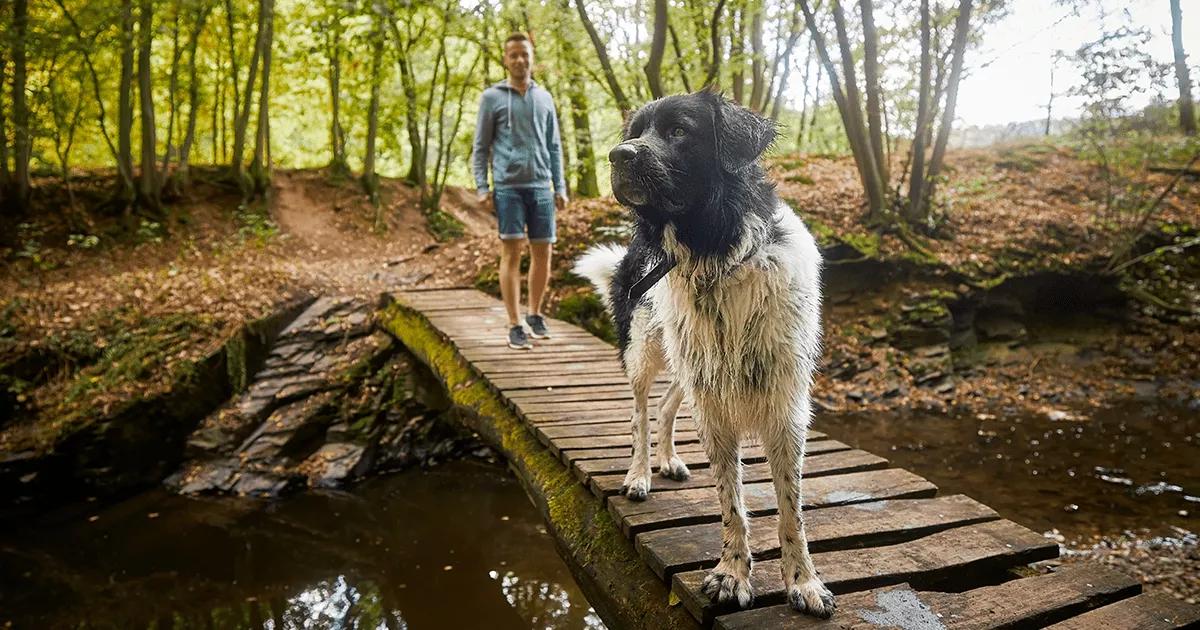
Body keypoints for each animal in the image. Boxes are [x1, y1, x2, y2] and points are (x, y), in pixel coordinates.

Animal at [571, 90, 835, 614]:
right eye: (635, 132)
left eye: (679, 131)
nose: (618, 155)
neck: (717, 254)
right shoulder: (715, 405)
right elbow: (731, 503)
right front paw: (733, 574)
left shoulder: (783, 405)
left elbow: (791, 508)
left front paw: (803, 581)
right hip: (648, 350)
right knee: (639, 413)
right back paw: (639, 475)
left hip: (687, 363)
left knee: (667, 407)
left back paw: (669, 460)